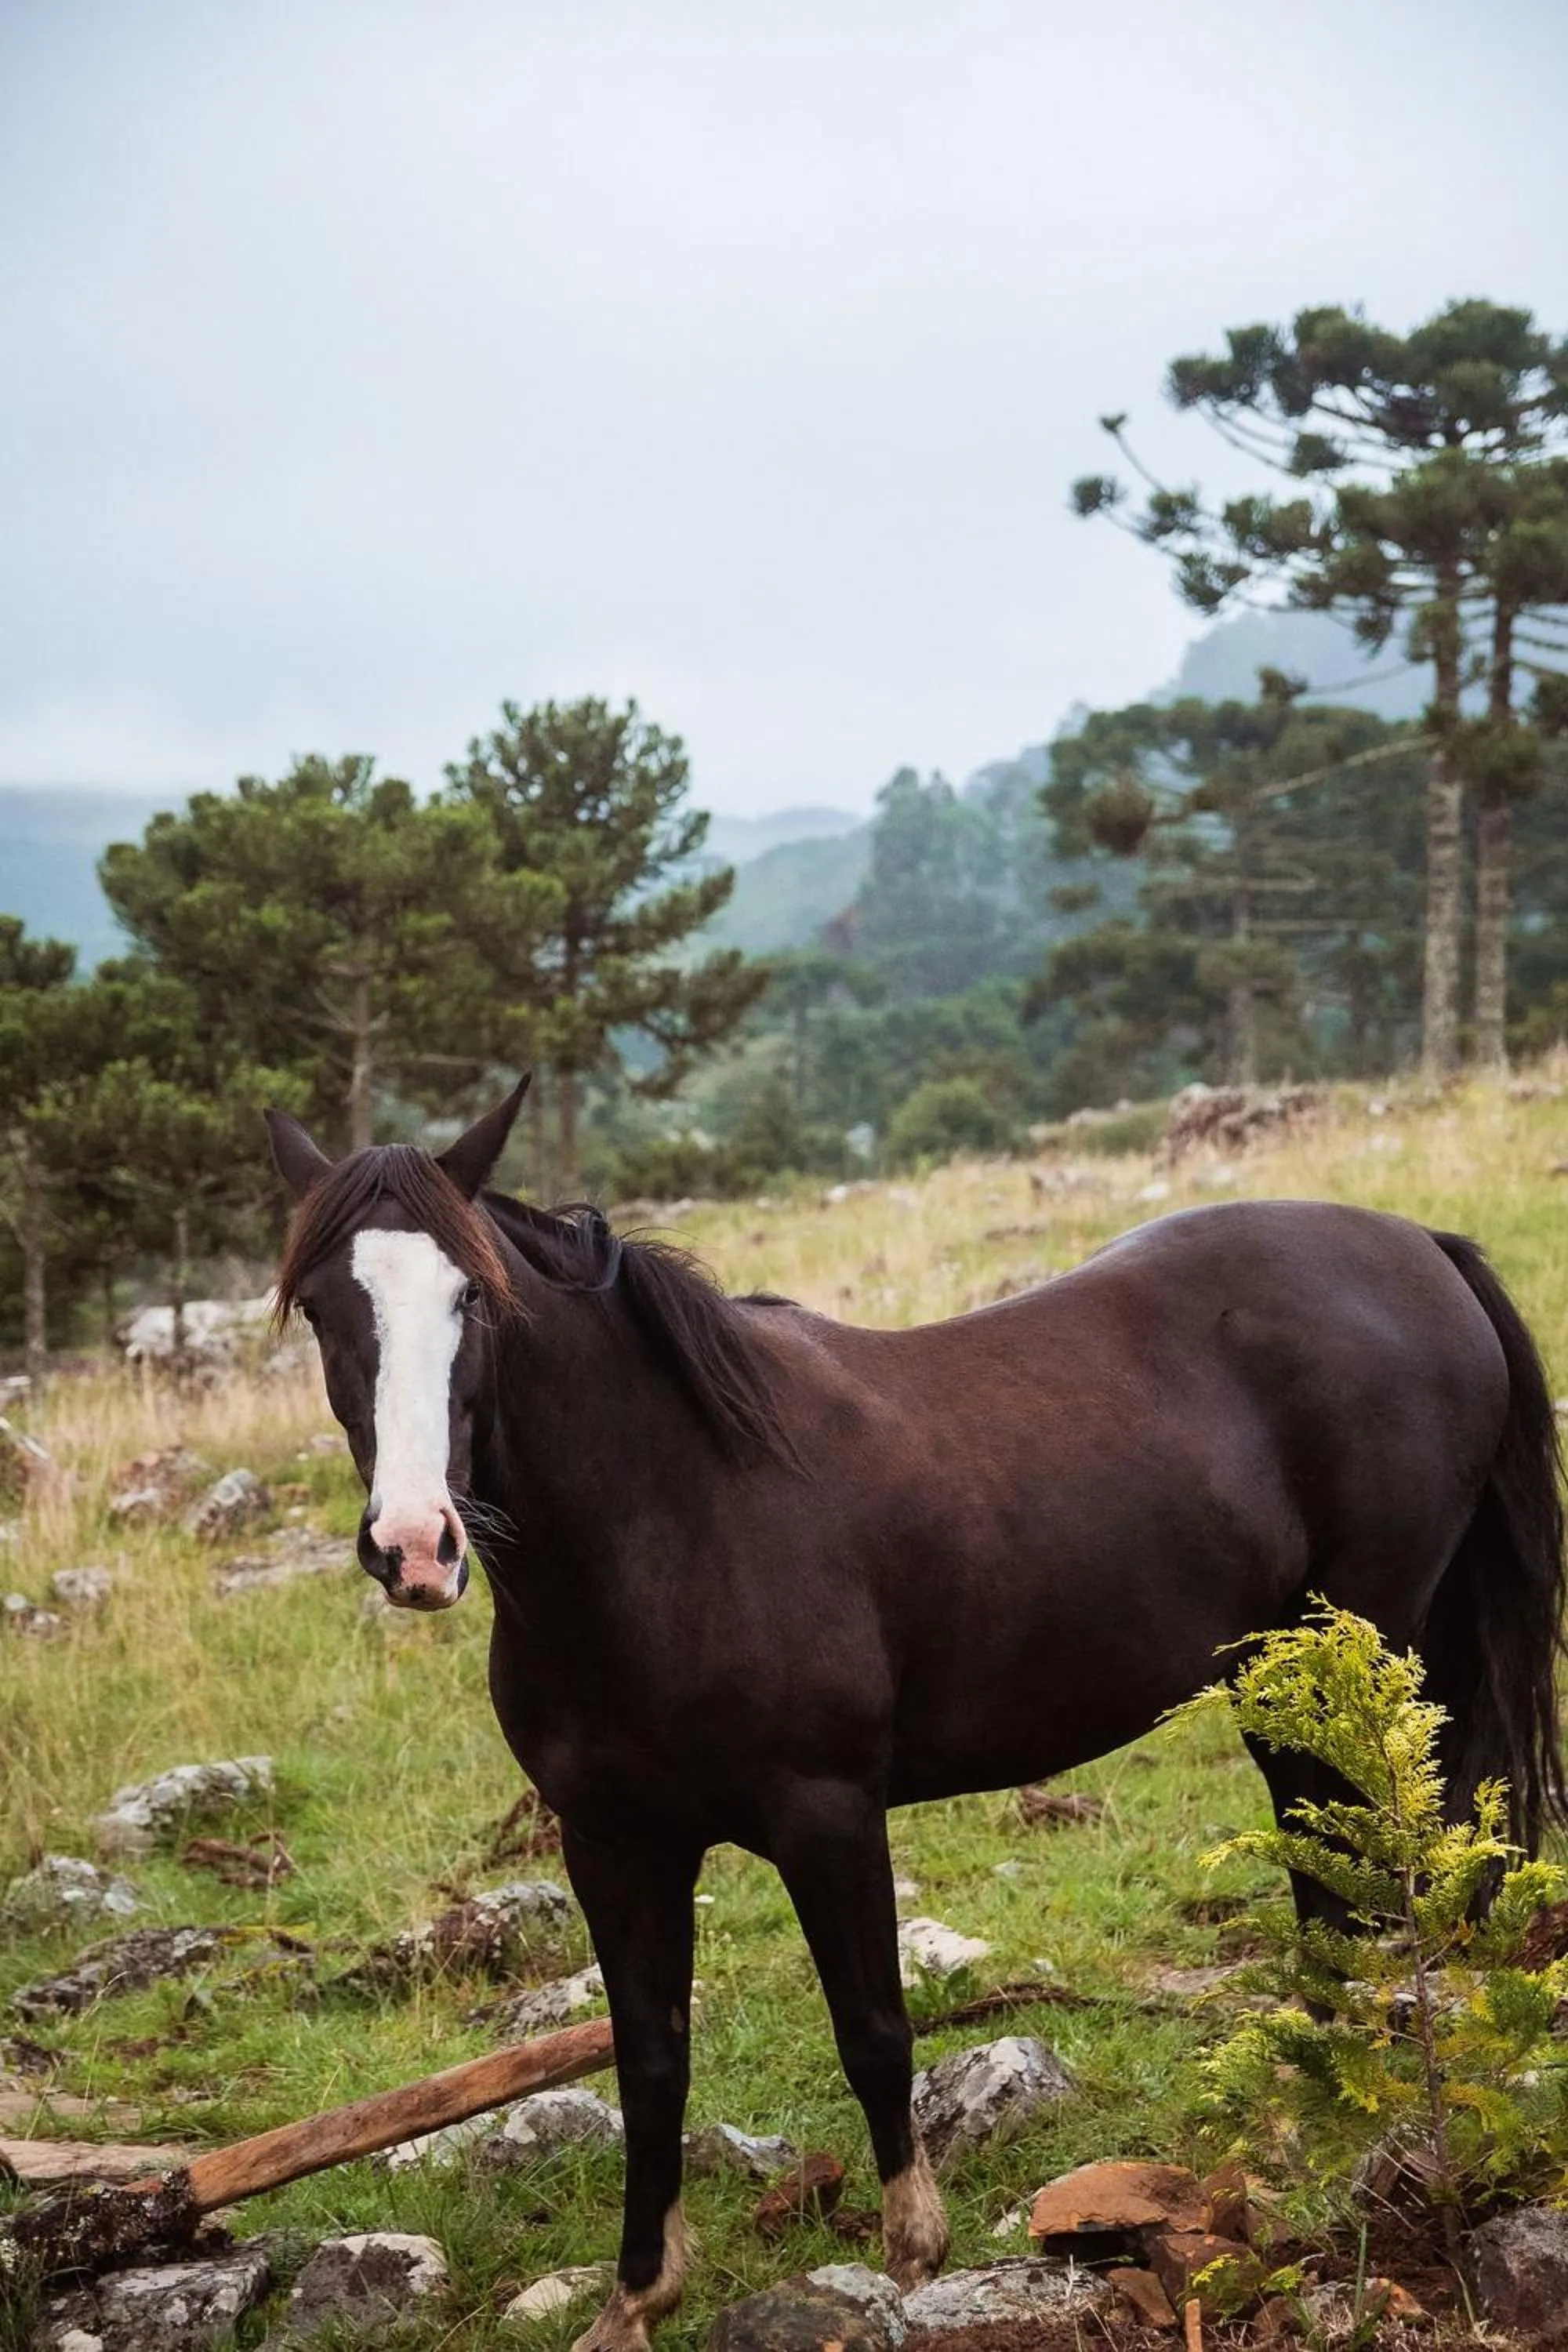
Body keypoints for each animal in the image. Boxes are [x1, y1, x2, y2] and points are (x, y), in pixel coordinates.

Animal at [265, 1078, 1565, 2352]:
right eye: (325, 1311)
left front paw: (912, 2259)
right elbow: (651, 2063)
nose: (417, 1547)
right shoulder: (614, 1846)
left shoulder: (827, 1815)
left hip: (1354, 1658)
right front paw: (638, 2295)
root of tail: (1421, 1247)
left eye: (472, 1300)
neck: (675, 1519)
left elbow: (875, 2032)